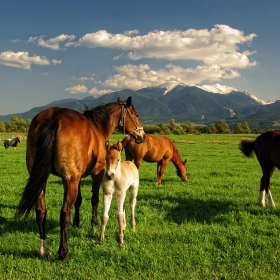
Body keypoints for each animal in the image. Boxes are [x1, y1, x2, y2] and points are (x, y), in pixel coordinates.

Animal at [14, 97, 147, 260]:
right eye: (136, 114)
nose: (142, 136)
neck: (97, 126)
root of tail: (54, 117)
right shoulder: (96, 174)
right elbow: (94, 200)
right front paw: (94, 223)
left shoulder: (77, 178)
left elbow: (78, 201)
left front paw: (76, 223)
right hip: (69, 180)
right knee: (64, 212)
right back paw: (63, 252)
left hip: (43, 179)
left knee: (41, 211)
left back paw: (44, 249)